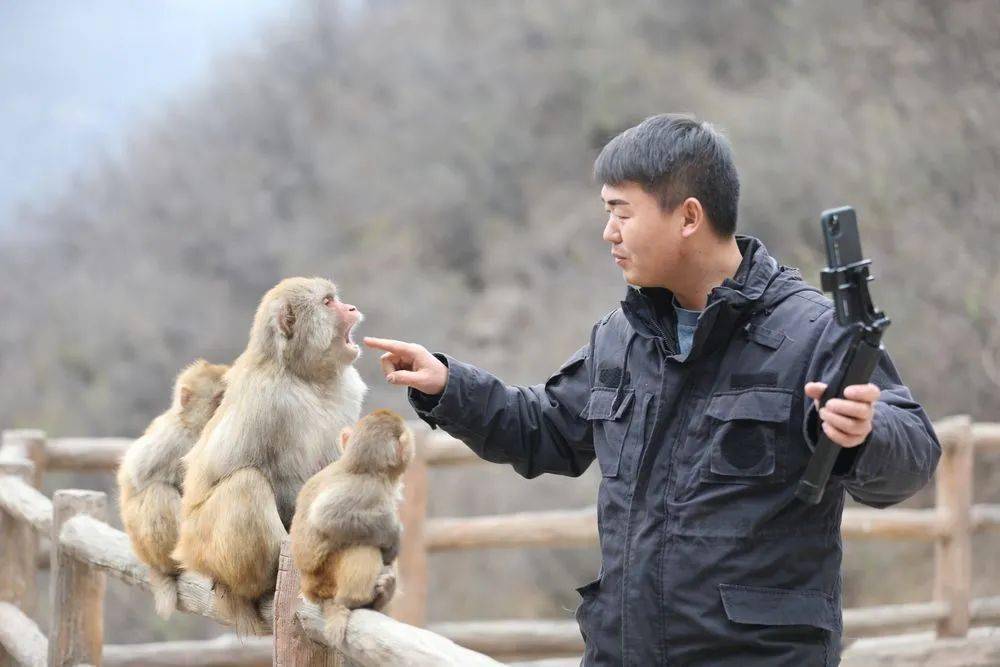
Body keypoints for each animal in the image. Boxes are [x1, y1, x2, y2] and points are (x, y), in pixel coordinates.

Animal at [116, 360, 228, 620]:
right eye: (219, 399)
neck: (196, 429)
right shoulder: (173, 437)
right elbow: (136, 473)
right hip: (148, 545)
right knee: (158, 492)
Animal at [173, 278, 368, 636]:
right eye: (328, 302)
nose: (350, 308)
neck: (304, 376)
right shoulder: (273, 401)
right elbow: (282, 477)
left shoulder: (347, 391)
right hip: (202, 544)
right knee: (246, 483)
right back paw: (260, 582)